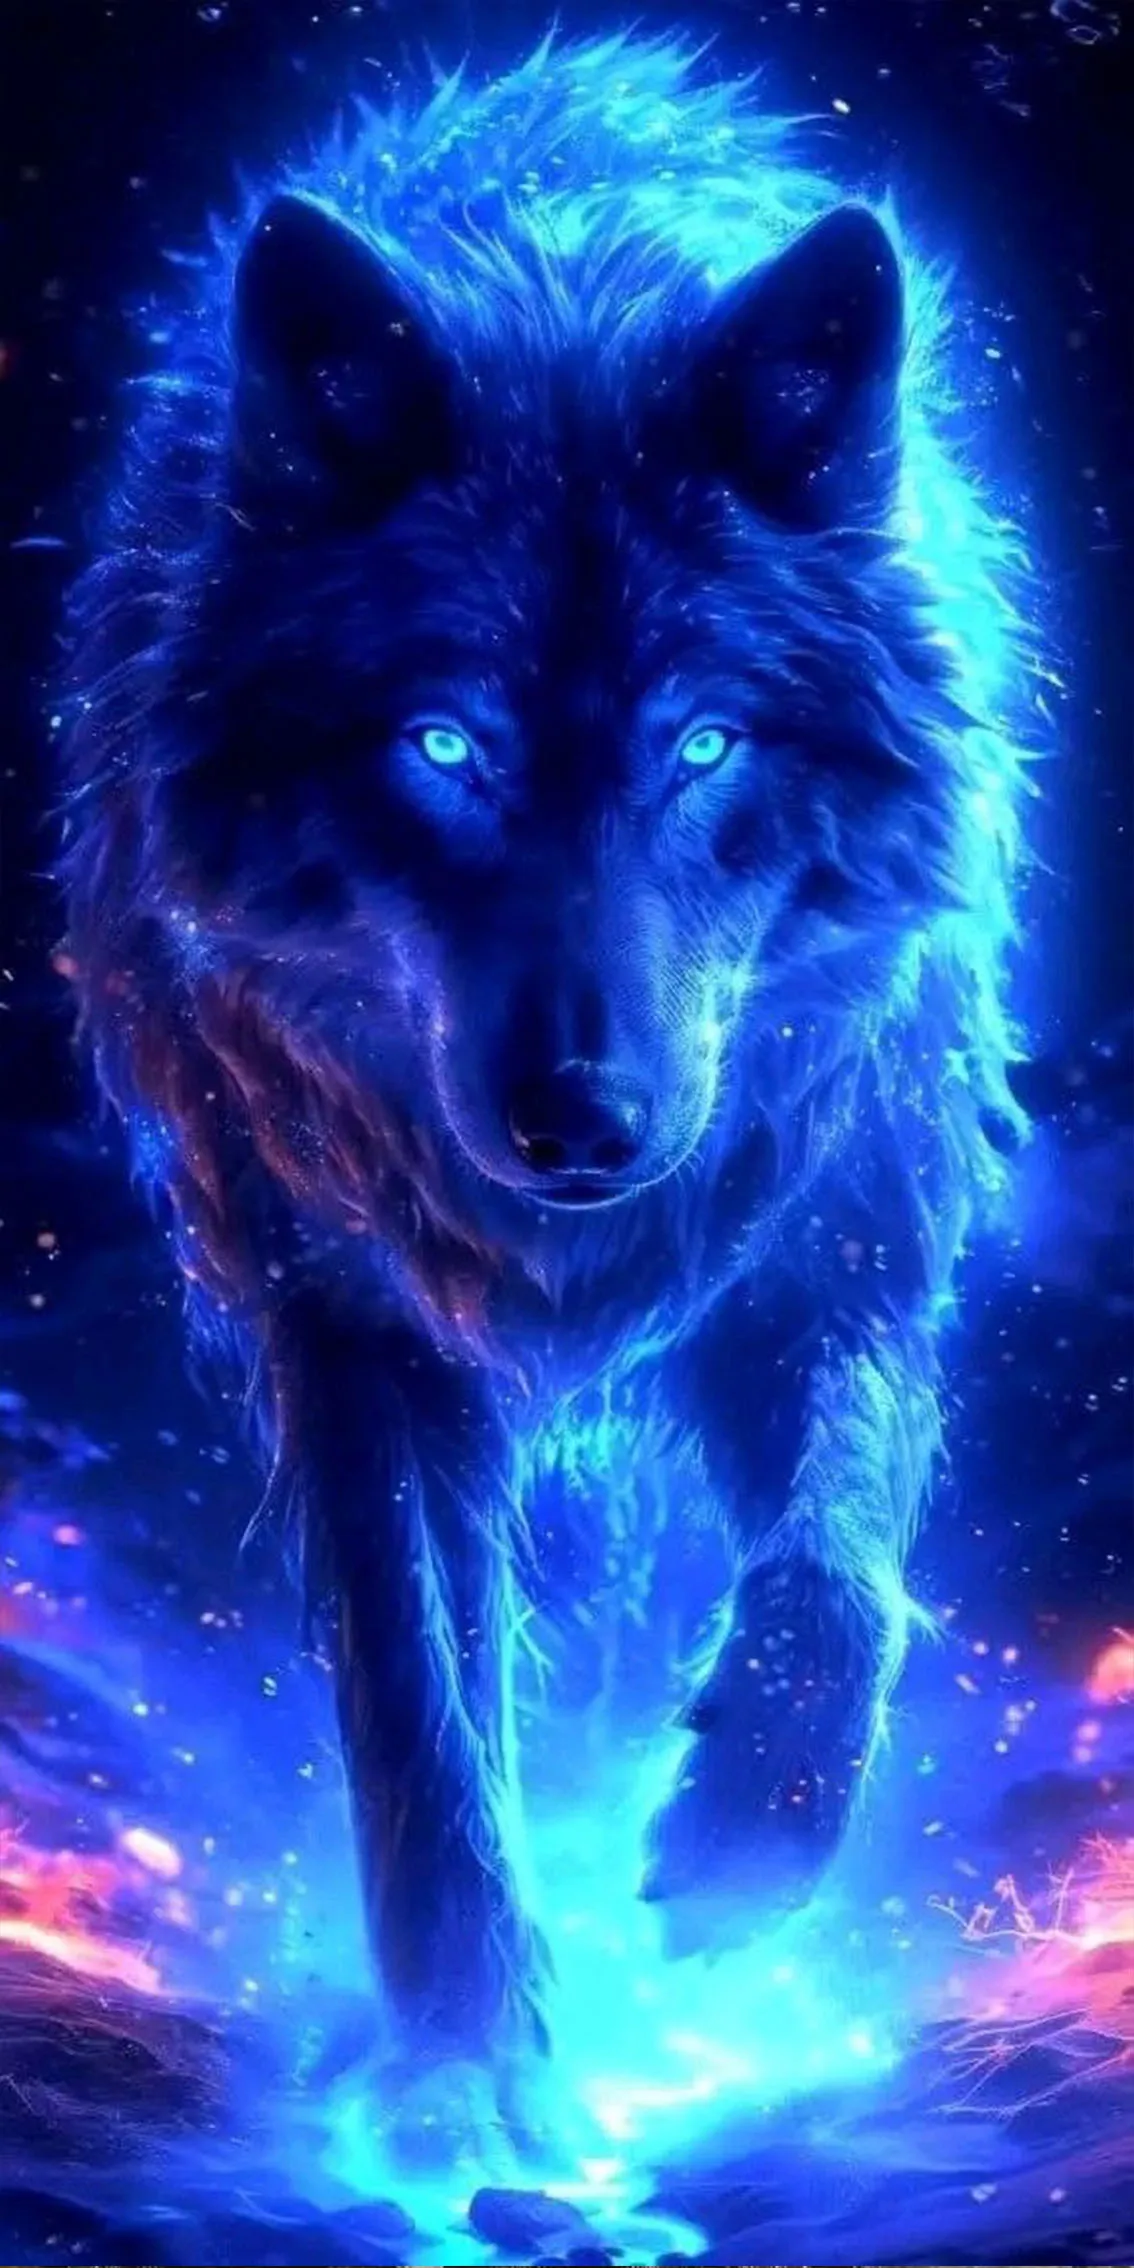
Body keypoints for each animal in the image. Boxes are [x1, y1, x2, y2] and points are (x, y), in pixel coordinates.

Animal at [58, 33, 1031, 2131]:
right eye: (444, 744)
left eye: (702, 743)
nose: (578, 1120)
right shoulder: (345, 1320)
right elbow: (420, 1716)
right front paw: (465, 2076)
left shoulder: (839, 1231)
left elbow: (839, 1561)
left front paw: (740, 1851)